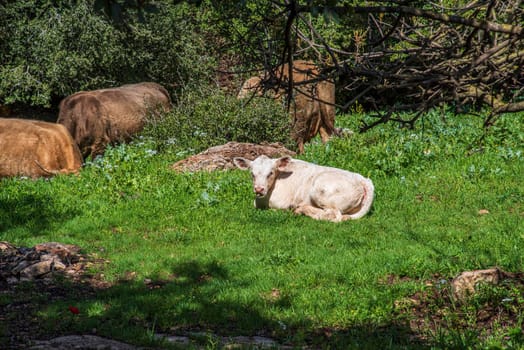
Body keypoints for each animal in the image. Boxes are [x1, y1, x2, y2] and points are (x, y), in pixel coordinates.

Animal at [232, 155, 372, 223]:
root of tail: (364, 180)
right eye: (252, 174)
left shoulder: (279, 203)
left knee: (333, 215)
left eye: (270, 173)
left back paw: (301, 209)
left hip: (320, 190)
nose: (259, 190)